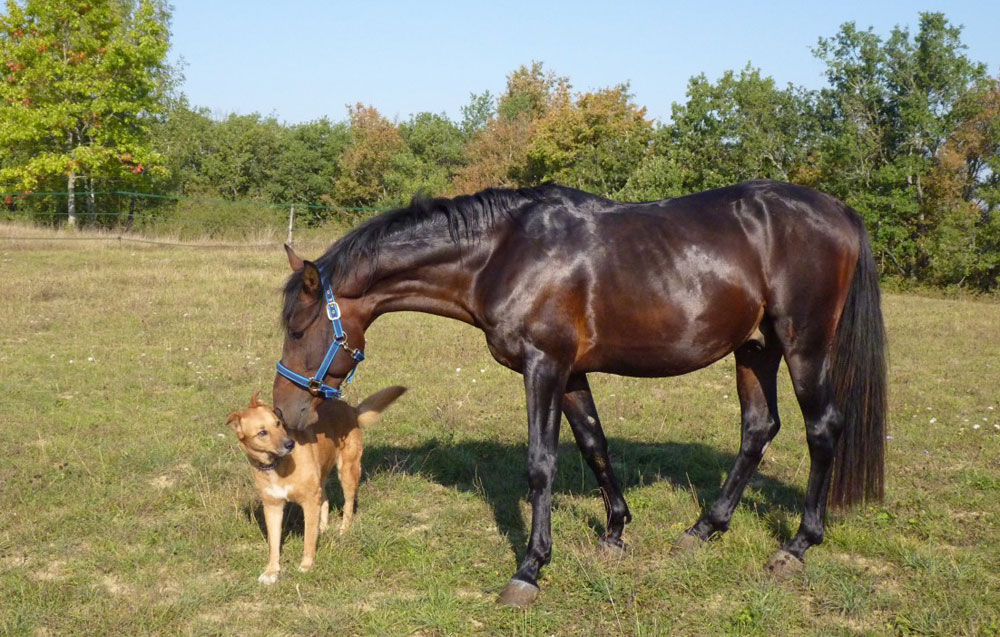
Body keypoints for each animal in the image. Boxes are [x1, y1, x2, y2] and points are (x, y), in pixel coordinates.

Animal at [228, 386, 406, 584]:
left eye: (278, 423)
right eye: (262, 433)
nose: (290, 444)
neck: (277, 465)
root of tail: (350, 408)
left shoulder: (309, 501)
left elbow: (308, 538)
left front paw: (306, 565)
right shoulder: (272, 507)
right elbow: (273, 544)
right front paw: (271, 571)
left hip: (347, 470)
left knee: (348, 503)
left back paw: (343, 529)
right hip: (321, 476)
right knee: (325, 500)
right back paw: (323, 527)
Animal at [272, 179, 884, 608]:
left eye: (298, 329)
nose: (285, 411)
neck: (503, 254)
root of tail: (840, 211)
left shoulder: (544, 367)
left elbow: (542, 463)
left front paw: (530, 569)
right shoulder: (570, 374)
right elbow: (594, 444)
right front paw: (615, 533)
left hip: (804, 346)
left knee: (822, 430)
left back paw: (797, 546)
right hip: (754, 349)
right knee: (758, 429)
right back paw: (703, 530)